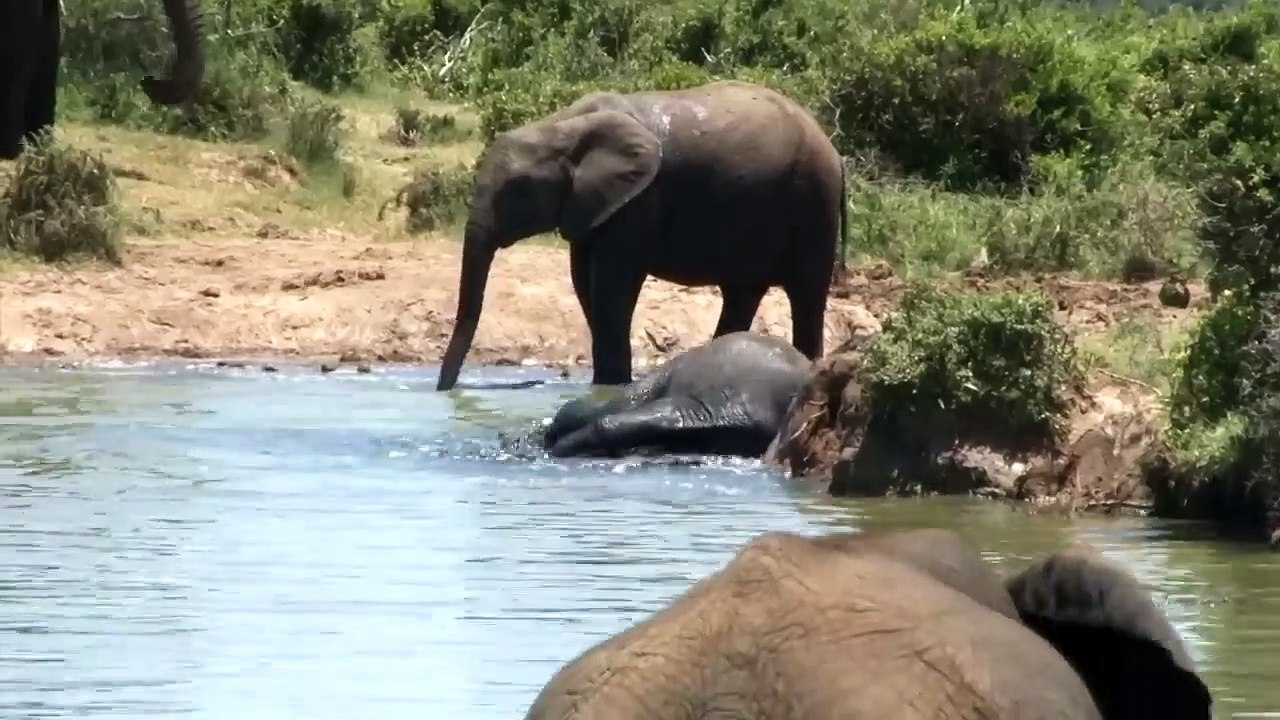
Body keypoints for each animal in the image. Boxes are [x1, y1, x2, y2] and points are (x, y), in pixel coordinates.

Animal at [435, 79, 848, 392]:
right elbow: (584, 282)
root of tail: (835, 151)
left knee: (806, 297)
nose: (445, 392)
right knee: (743, 293)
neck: (561, 127)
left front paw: (611, 388)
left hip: (814, 203)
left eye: (517, 190)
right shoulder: (593, 203)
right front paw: (609, 385)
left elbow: (613, 282)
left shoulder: (639, 200)